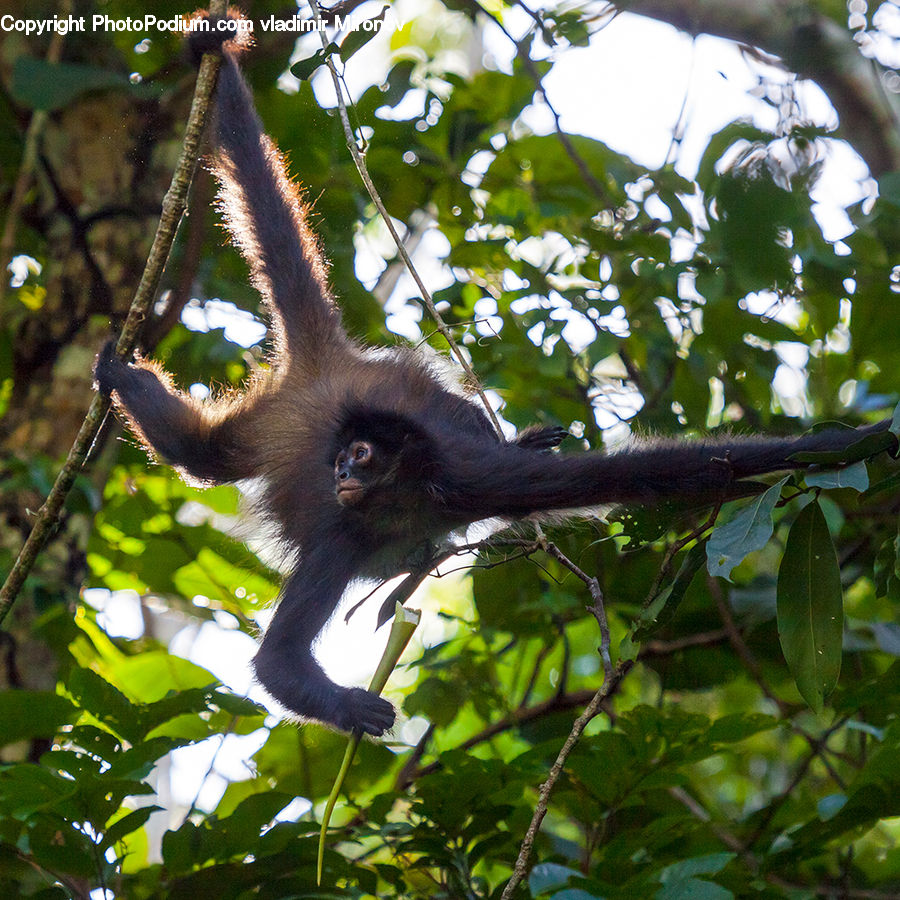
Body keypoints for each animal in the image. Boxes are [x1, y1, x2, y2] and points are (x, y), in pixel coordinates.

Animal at [95, 19, 896, 740]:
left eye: (362, 455)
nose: (341, 471)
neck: (407, 501)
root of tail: (329, 372)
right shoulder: (344, 533)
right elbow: (278, 663)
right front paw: (352, 709)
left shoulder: (467, 479)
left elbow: (668, 472)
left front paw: (853, 443)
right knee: (205, 456)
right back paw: (123, 380)